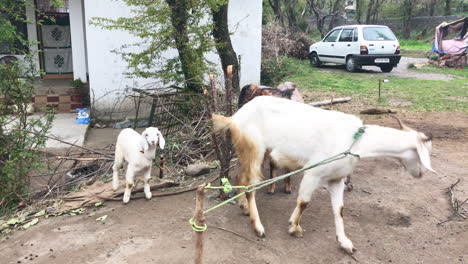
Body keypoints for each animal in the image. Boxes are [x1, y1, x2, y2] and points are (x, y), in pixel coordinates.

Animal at [212, 96, 436, 254]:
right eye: (422, 153)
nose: (421, 174)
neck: (356, 141)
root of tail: (234, 118)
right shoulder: (313, 172)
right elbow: (304, 202)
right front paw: (294, 227)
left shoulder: (336, 179)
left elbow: (339, 209)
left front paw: (345, 243)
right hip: (254, 148)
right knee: (250, 185)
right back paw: (258, 227)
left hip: (246, 151)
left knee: (240, 178)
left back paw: (243, 208)